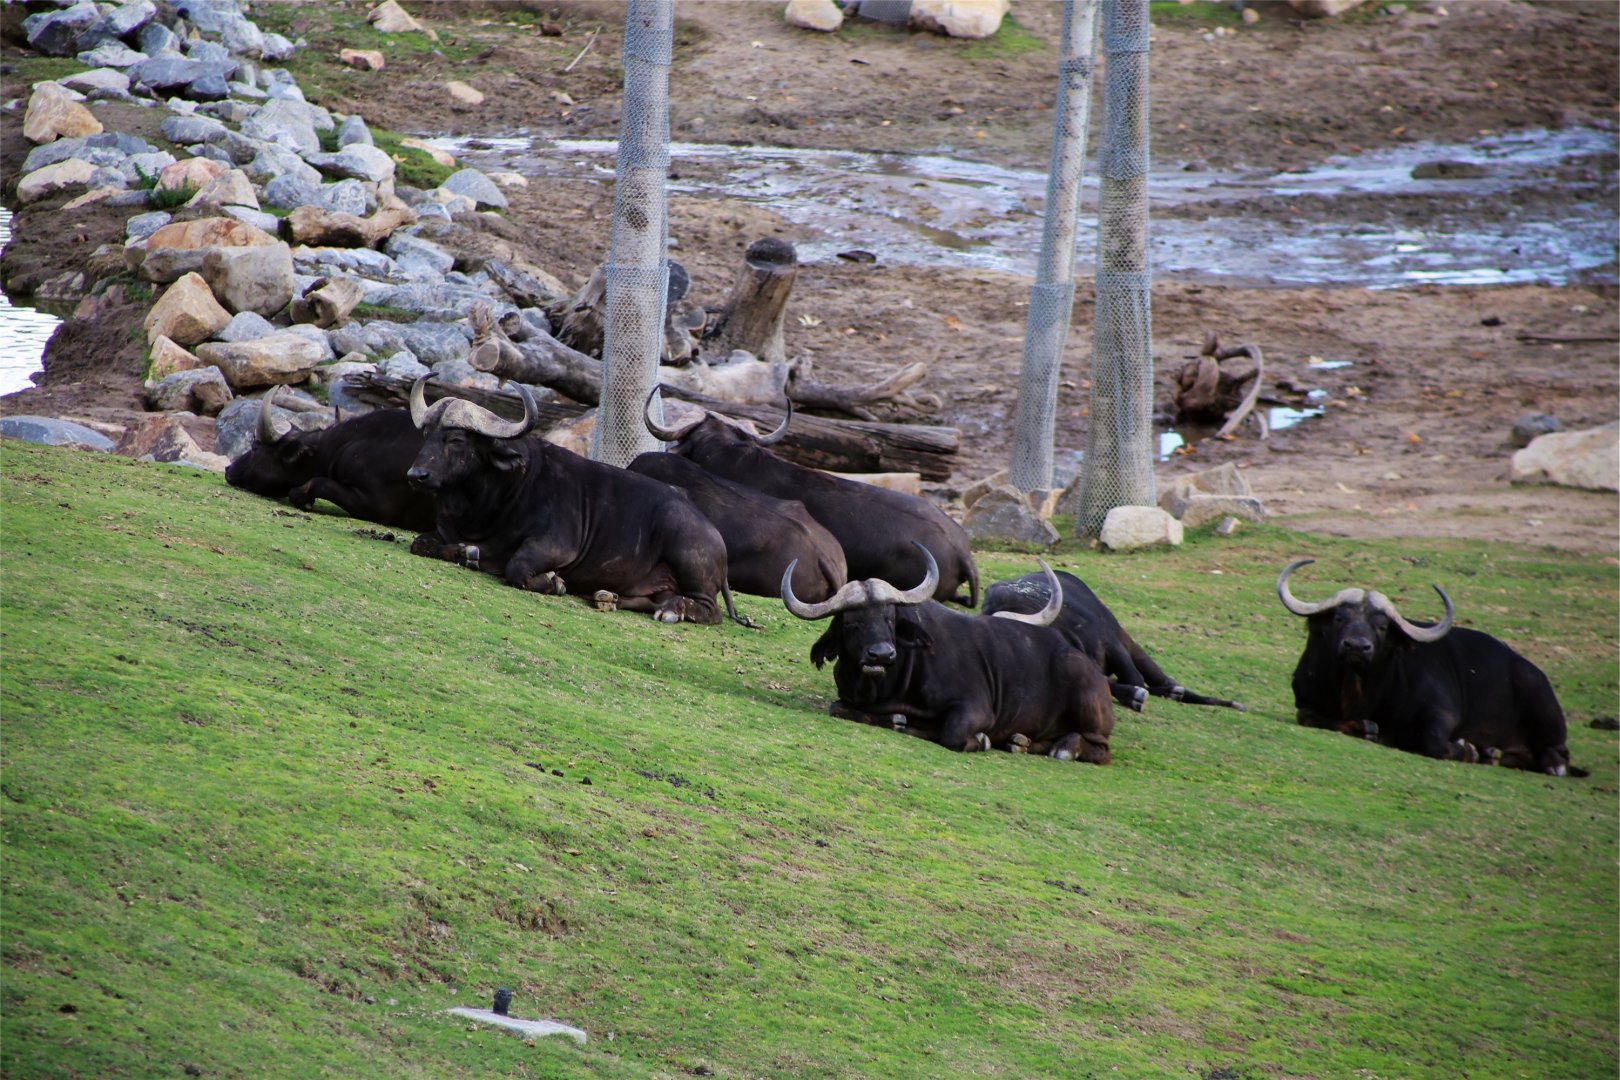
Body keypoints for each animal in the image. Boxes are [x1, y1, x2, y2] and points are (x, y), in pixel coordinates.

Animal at [405, 375, 742, 625]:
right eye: (426, 434)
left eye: (456, 439)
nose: (416, 474)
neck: (487, 506)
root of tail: (713, 533)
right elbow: (421, 543)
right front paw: (467, 552)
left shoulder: (555, 545)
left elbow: (517, 567)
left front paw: (554, 583)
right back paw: (608, 598)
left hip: (688, 557)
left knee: (710, 611)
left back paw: (673, 610)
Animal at [784, 546, 1114, 762]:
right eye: (852, 623)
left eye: (889, 618)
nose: (881, 655)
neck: (890, 685)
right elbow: (838, 708)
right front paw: (899, 721)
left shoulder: (975, 708)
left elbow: (953, 733)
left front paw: (980, 739)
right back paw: (1020, 742)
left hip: (1087, 706)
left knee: (1099, 749)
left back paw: (1064, 748)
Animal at [983, 568, 1243, 712]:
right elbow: (1112, 683)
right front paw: (1133, 696)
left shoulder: (1112, 645)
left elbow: (1134, 678)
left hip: (1128, 641)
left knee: (1158, 678)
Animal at [1277, 559, 1583, 776]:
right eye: (1339, 618)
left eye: (1381, 626)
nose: (1357, 647)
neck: (1357, 689)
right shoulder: (1306, 700)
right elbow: (1308, 717)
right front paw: (1364, 727)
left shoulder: (1441, 711)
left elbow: (1434, 743)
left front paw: (1467, 750)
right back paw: (1492, 754)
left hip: (1542, 707)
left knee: (1557, 755)